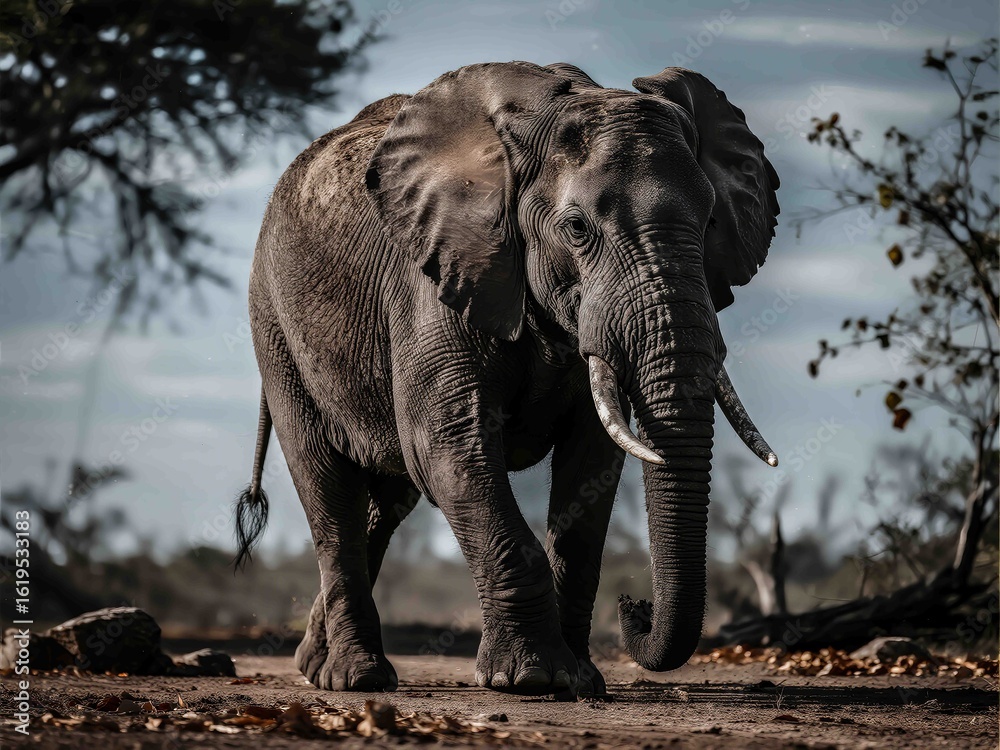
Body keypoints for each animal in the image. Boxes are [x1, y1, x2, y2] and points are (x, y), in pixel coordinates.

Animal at [235, 61, 780, 697]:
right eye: (577, 229)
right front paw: (531, 678)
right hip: (275, 326)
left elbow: (593, 465)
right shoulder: (434, 279)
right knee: (328, 487)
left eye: (711, 220)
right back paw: (357, 678)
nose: (635, 607)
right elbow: (448, 445)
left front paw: (581, 680)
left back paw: (314, 665)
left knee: (387, 502)